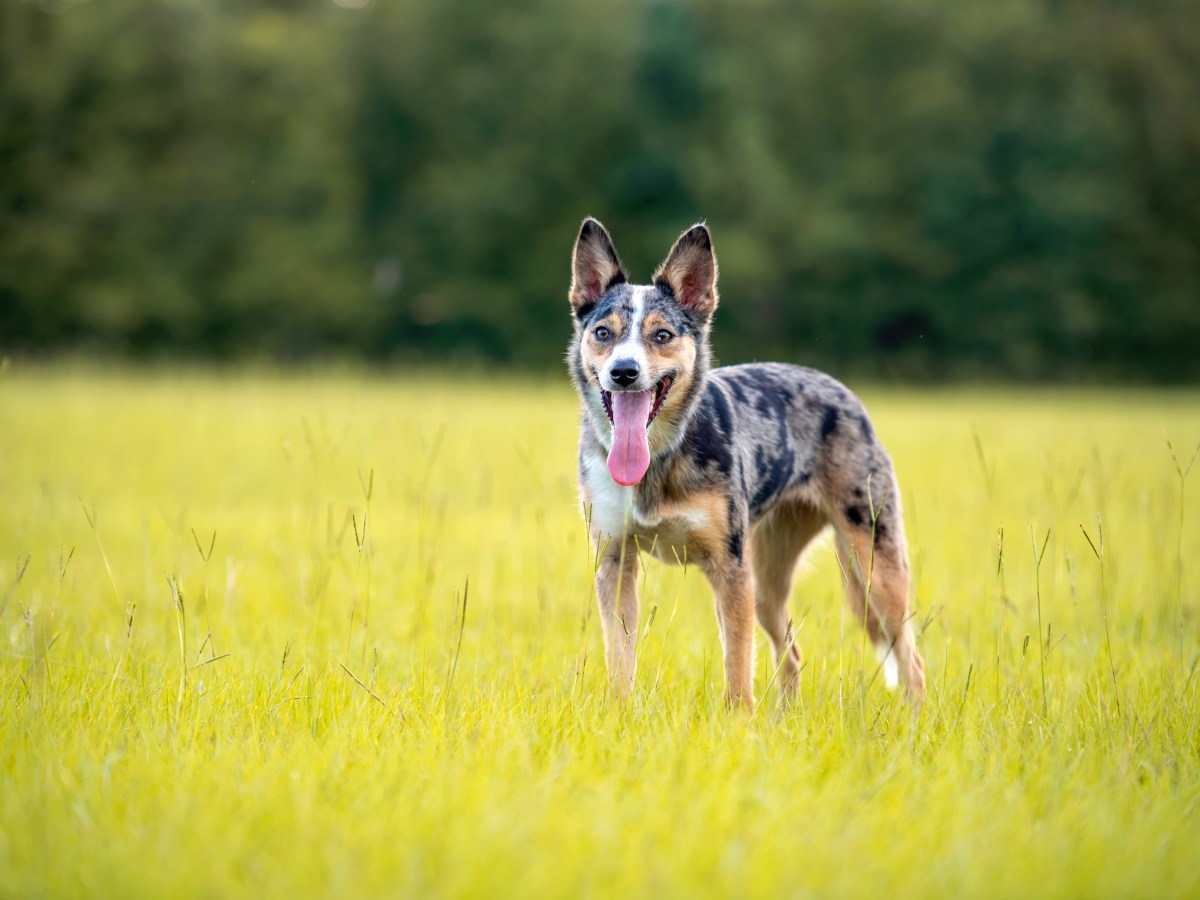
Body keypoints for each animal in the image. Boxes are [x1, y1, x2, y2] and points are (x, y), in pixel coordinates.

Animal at [564, 220, 926, 710]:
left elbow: (737, 666)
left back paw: (918, 719)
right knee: (792, 654)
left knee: (911, 660)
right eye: (603, 333)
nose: (624, 371)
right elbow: (620, 658)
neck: (659, 457)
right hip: (769, 580)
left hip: (872, 567)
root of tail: (842, 392)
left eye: (662, 336)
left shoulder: (729, 569)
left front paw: (738, 723)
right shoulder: (615, 563)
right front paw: (619, 715)